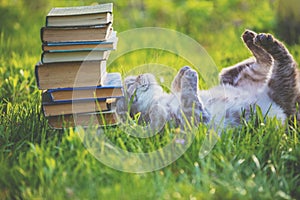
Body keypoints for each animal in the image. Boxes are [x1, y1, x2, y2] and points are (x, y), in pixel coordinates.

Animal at [116, 30, 300, 131]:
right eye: (131, 84)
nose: (140, 75)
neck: (157, 101)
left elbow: (177, 85)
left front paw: (183, 72)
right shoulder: (195, 119)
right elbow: (190, 97)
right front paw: (189, 75)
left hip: (246, 75)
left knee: (259, 61)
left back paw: (252, 38)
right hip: (280, 79)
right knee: (283, 58)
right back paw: (265, 41)